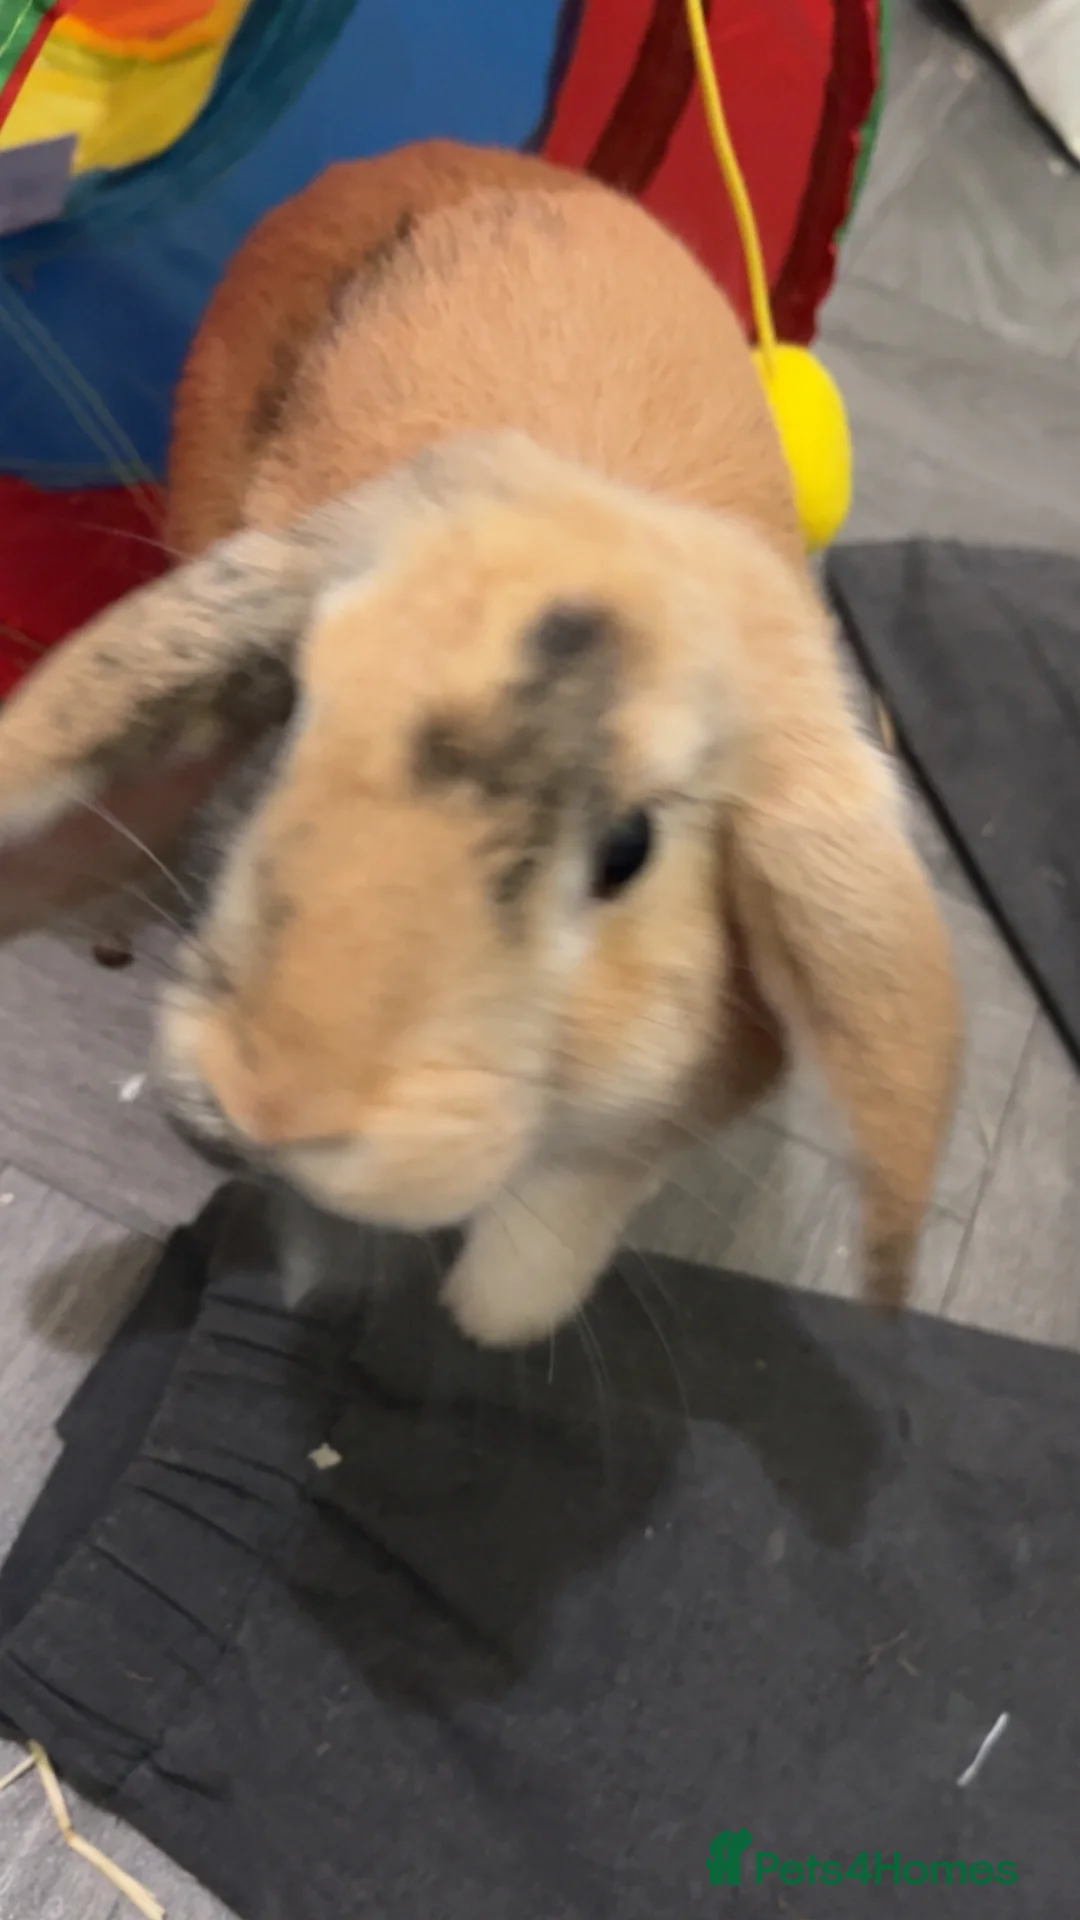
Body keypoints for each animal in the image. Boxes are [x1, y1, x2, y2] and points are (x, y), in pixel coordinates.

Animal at [0, 141, 960, 1346]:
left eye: (629, 849)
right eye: (295, 713)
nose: (273, 1101)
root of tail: (429, 157)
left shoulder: (647, 1124)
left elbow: (558, 1218)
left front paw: (487, 1315)